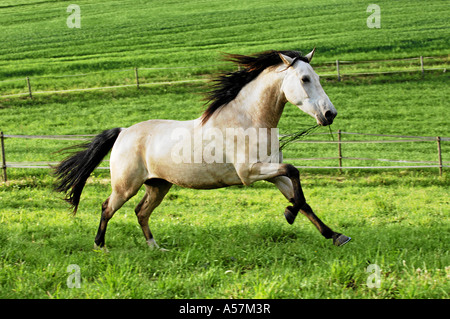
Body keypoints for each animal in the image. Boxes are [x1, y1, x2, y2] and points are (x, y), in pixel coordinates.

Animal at [54, 49, 352, 250]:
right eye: (304, 79)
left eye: (316, 77)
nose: (330, 114)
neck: (248, 120)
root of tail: (124, 132)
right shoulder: (250, 172)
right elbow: (294, 173)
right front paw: (289, 215)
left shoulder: (273, 173)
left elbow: (301, 197)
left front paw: (336, 235)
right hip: (125, 186)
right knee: (107, 207)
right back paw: (100, 246)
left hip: (158, 185)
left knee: (141, 212)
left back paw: (156, 248)